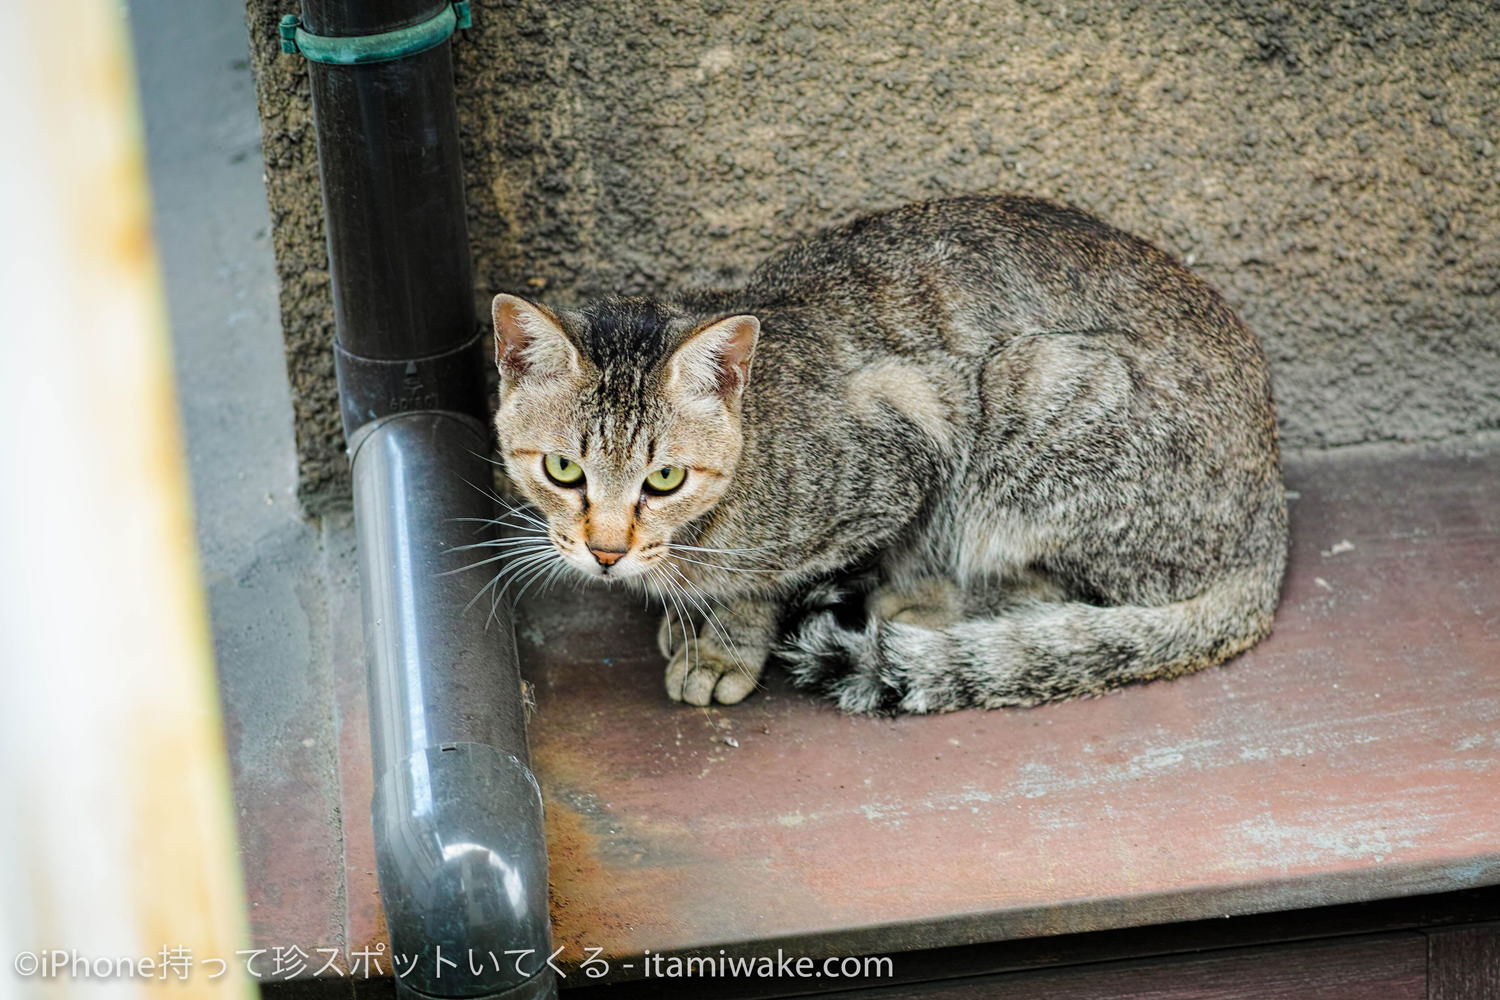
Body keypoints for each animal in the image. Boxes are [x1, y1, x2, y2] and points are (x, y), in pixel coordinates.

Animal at [486, 193, 1284, 710]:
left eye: (666, 478)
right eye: (563, 469)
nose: (606, 552)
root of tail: (1270, 524)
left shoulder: (907, 450)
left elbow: (762, 584)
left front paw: (722, 645)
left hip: (1036, 390)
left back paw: (925, 604)